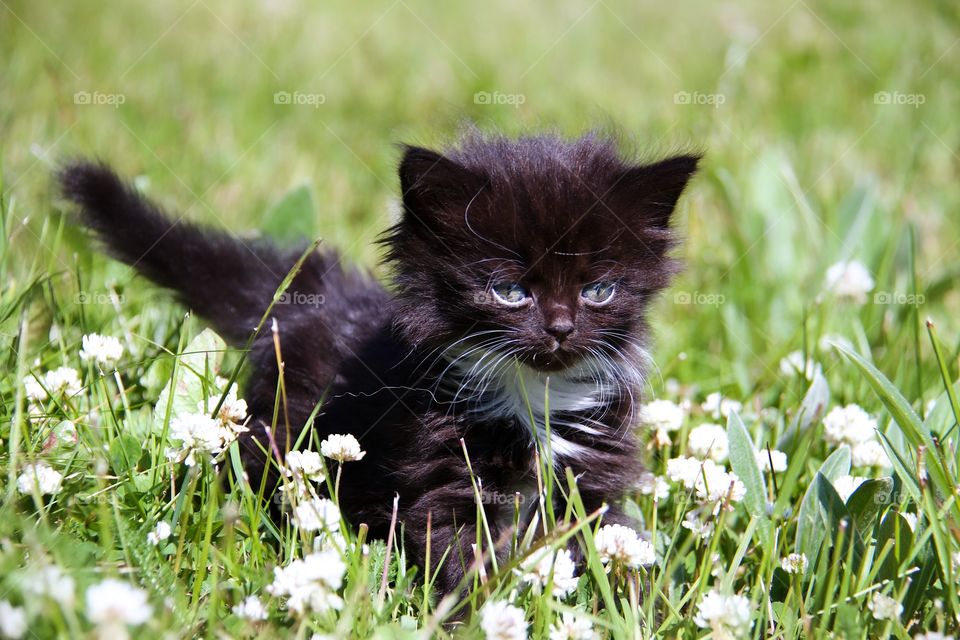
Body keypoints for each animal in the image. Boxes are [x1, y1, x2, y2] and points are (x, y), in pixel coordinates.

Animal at [58, 134, 696, 596]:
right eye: (509, 291)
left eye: (600, 291)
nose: (561, 328)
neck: (531, 397)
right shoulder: (441, 479)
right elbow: (461, 562)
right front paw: (470, 615)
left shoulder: (593, 483)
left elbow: (616, 548)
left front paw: (637, 608)